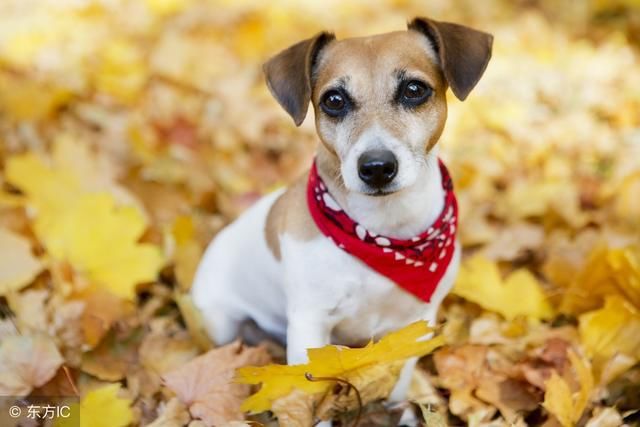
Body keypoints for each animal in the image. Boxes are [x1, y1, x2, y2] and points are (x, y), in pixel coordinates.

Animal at [192, 15, 492, 422]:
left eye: (414, 90)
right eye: (334, 100)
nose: (377, 167)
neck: (384, 235)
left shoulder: (414, 326)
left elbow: (397, 380)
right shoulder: (309, 325)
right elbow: (311, 397)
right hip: (221, 321)